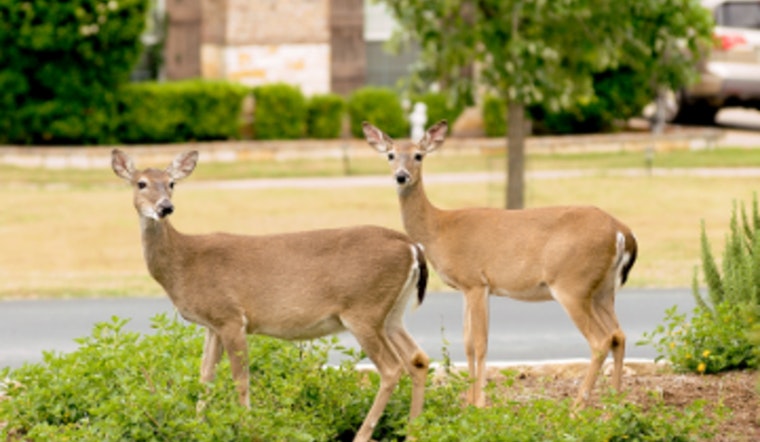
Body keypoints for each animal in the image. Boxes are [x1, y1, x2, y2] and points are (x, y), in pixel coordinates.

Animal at [111, 149, 430, 442]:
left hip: (363, 309)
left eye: (171, 183)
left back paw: (363, 435)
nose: (165, 207)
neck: (184, 263)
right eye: (141, 183)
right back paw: (412, 433)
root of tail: (411, 246)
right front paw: (197, 427)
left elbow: (240, 379)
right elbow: (205, 377)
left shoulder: (230, 317)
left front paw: (248, 428)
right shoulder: (213, 325)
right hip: (391, 313)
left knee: (391, 368)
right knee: (417, 359)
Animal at [362, 120, 638, 409]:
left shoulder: (475, 281)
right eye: (391, 154)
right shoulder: (468, 287)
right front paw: (469, 401)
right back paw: (614, 405)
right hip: (603, 290)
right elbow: (467, 342)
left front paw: (479, 402)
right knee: (618, 335)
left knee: (600, 340)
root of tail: (621, 231)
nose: (401, 176)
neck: (438, 230)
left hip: (572, 285)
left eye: (418, 155)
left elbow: (480, 342)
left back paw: (577, 407)